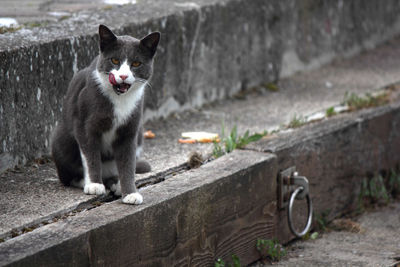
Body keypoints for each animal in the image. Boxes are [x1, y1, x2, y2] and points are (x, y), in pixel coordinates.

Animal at [50, 24, 160, 205]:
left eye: (136, 63)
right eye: (114, 60)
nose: (123, 75)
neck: (120, 100)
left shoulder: (130, 129)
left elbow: (128, 162)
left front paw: (130, 193)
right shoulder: (84, 123)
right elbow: (90, 154)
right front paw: (94, 184)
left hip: (140, 136)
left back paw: (116, 183)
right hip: (60, 138)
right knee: (66, 175)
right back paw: (85, 181)